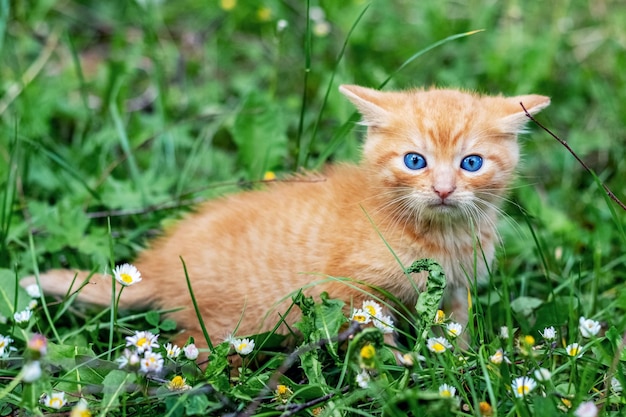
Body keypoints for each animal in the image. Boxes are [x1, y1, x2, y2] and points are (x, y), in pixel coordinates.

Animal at [26, 83, 548, 344]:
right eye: (414, 161)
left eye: (471, 164)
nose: (442, 189)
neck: (440, 235)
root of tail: (155, 269)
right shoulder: (355, 295)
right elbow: (374, 341)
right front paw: (399, 369)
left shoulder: (454, 290)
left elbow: (455, 332)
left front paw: (460, 367)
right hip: (228, 324)